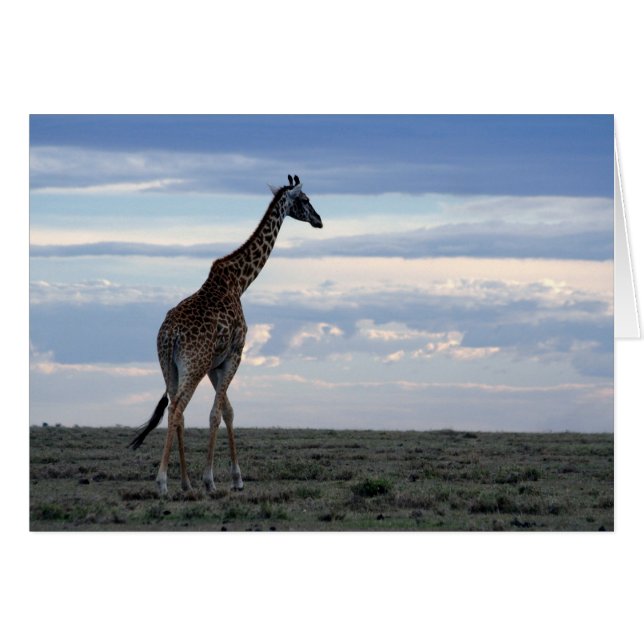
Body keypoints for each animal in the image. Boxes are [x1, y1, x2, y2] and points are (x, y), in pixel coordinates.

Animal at [128, 175, 323, 496]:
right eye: (305, 199)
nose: (319, 220)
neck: (239, 283)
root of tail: (170, 335)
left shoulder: (214, 363)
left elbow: (228, 411)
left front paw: (235, 478)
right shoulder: (235, 353)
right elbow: (216, 414)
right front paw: (211, 480)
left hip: (169, 365)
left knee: (176, 411)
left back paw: (184, 482)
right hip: (192, 365)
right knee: (177, 410)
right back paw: (163, 481)